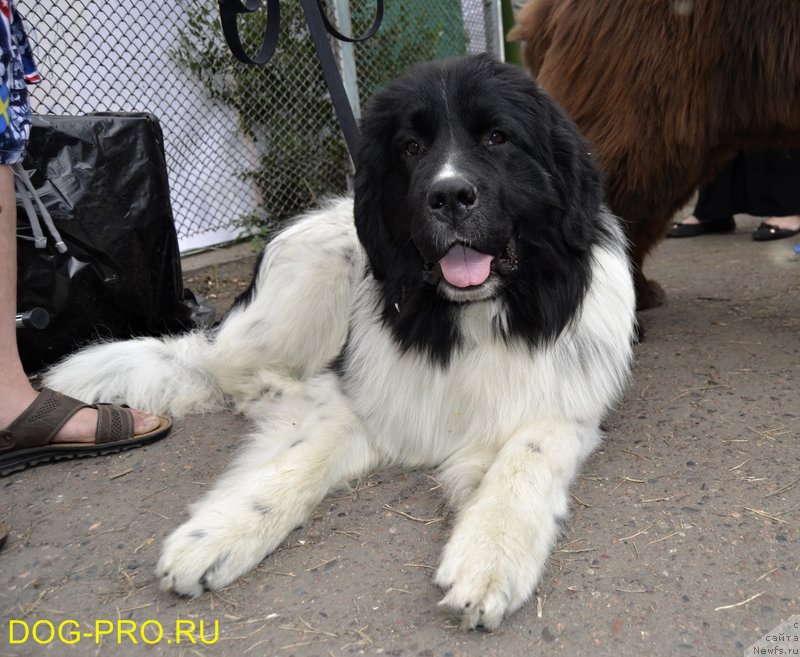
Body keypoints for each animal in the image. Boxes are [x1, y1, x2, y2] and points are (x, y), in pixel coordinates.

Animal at [45, 53, 636, 628]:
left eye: (497, 137)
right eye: (411, 147)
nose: (448, 195)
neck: (469, 313)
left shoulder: (564, 409)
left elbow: (525, 458)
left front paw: (491, 555)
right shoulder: (366, 394)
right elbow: (307, 450)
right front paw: (221, 531)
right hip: (317, 271)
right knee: (222, 370)